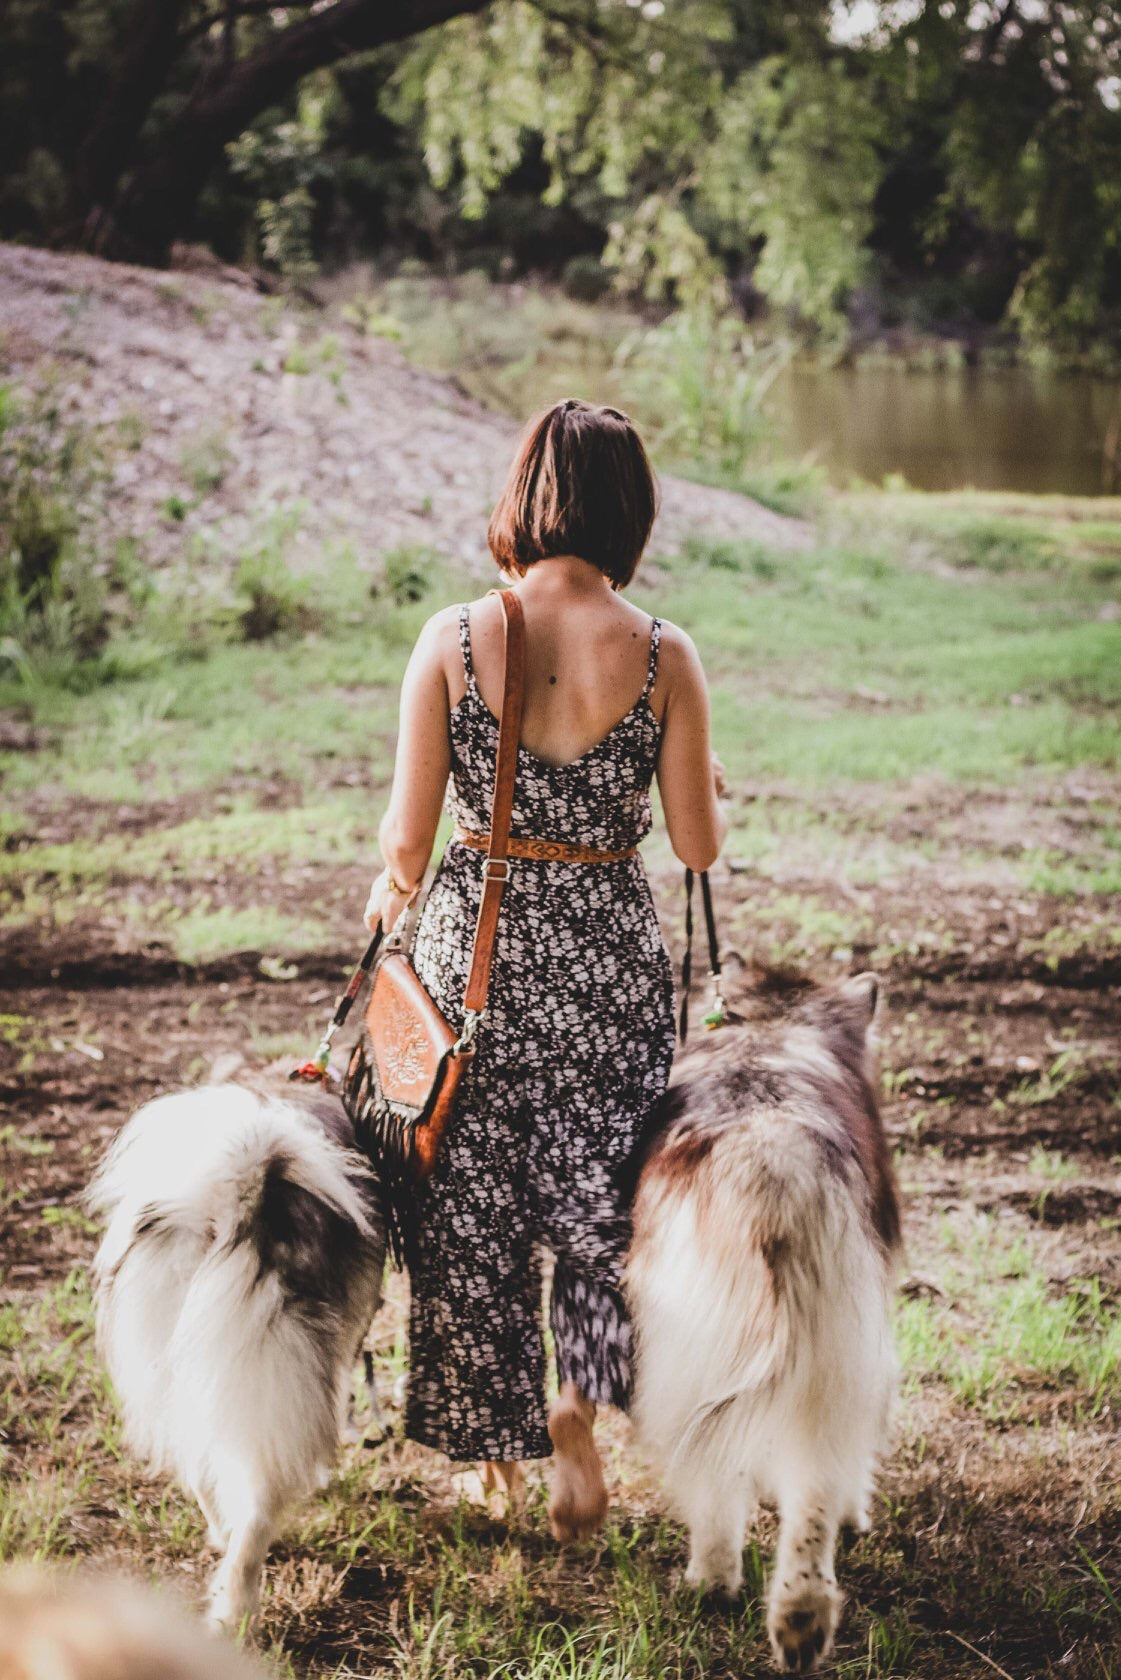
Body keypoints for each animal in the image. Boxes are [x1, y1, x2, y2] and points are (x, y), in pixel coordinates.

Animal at [87, 1088, 386, 1626]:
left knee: (201, 1465)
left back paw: (221, 1541)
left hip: (183, 1369)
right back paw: (236, 1610)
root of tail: (234, 1200)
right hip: (269, 1379)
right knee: (257, 1510)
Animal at [631, 967, 900, 1673]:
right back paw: (801, 1619)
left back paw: (719, 1585)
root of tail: (767, 1164)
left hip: (692, 1349)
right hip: (832, 1347)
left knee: (716, 1478)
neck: (770, 1029)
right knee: (813, 1486)